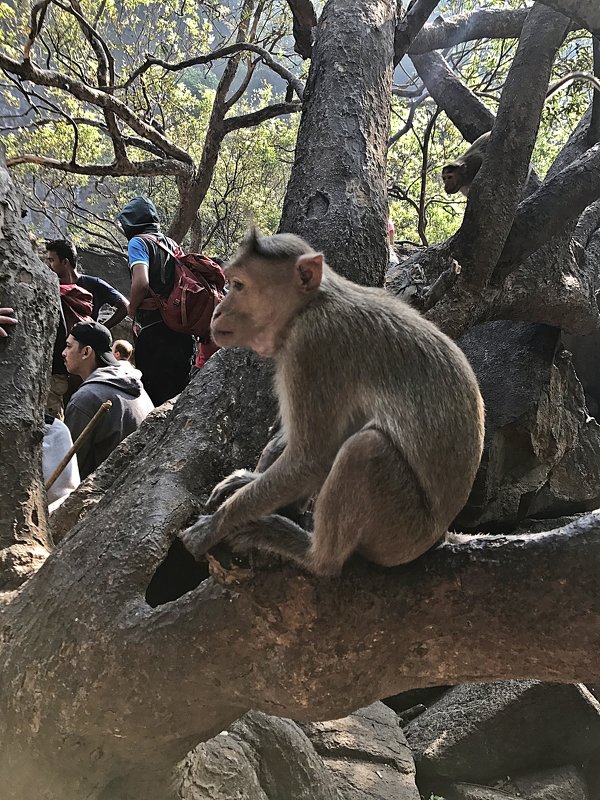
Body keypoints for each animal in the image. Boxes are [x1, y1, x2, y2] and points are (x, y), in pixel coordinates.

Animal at [179, 230, 488, 576]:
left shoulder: (311, 345)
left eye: (239, 285)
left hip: (400, 533)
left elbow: (312, 458)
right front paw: (251, 477)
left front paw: (216, 525)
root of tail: (440, 535)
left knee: (364, 449)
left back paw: (310, 553)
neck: (311, 305)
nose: (218, 312)